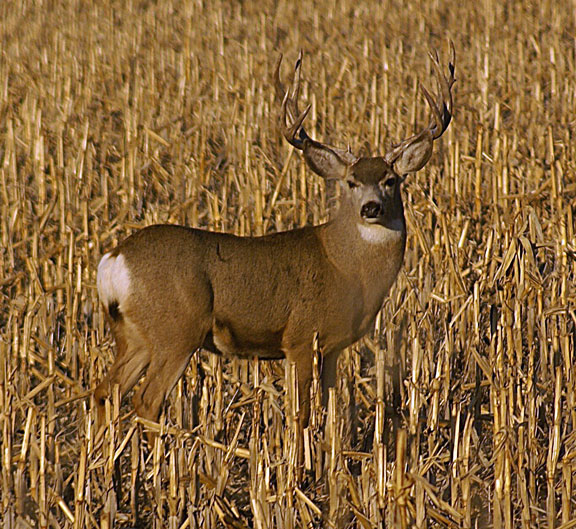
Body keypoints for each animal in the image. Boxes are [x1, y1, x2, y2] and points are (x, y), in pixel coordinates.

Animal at [94, 46, 454, 442]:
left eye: (391, 180)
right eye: (351, 182)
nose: (371, 207)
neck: (345, 267)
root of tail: (114, 260)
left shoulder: (333, 347)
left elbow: (331, 409)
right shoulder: (300, 337)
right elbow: (301, 413)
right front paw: (300, 456)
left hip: (133, 334)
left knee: (105, 391)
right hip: (176, 330)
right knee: (146, 400)